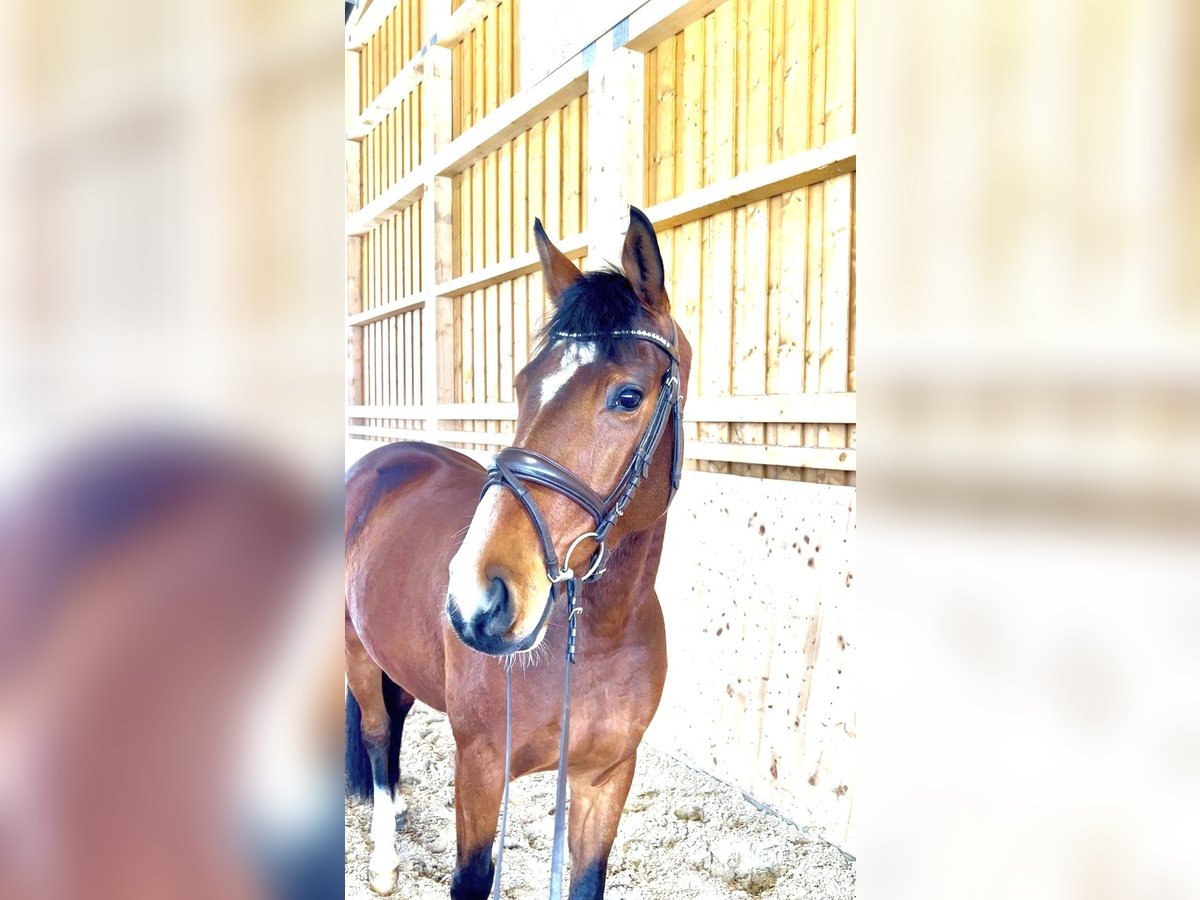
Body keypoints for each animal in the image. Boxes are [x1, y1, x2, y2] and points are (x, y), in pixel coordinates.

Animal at [344, 207, 692, 899]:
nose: (477, 597)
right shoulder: (480, 769)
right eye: (523, 383)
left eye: (628, 396)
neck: (594, 640)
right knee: (375, 732)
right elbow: (472, 877)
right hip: (353, 650)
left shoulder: (604, 780)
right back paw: (384, 858)